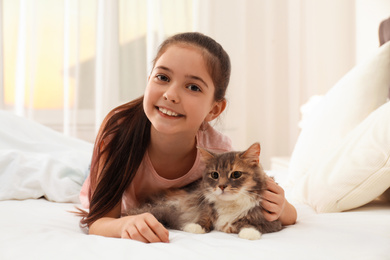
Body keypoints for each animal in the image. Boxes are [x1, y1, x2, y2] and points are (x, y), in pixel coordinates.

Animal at [126, 142, 282, 240]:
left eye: (236, 174)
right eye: (215, 175)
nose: (222, 186)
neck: (229, 205)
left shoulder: (273, 222)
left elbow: (249, 224)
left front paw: (249, 233)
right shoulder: (204, 208)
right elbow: (204, 217)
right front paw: (194, 227)